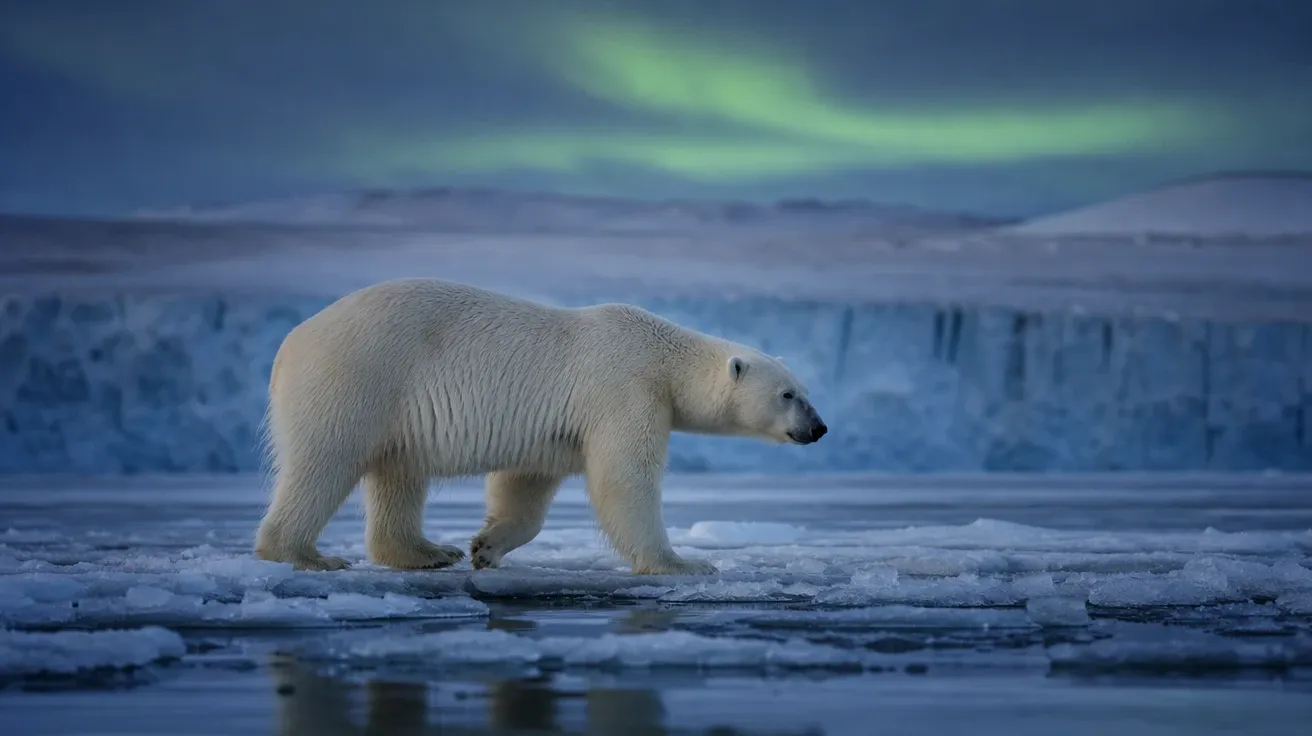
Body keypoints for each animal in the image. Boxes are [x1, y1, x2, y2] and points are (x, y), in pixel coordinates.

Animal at [253, 278, 827, 575]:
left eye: (804, 389)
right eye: (789, 394)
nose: (819, 428)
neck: (662, 356)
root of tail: (289, 345)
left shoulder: (556, 428)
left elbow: (525, 485)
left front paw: (484, 547)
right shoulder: (623, 388)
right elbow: (626, 479)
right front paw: (682, 565)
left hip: (391, 403)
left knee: (398, 472)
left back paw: (426, 553)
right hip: (359, 375)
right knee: (324, 461)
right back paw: (305, 555)